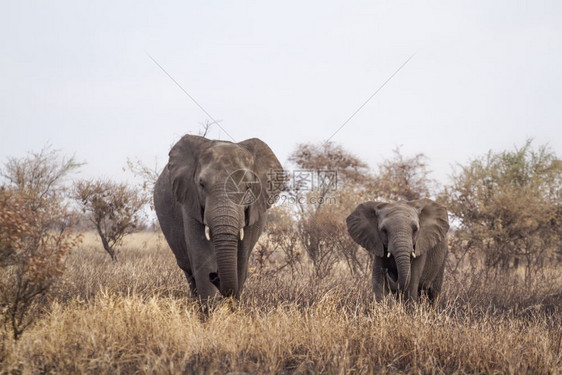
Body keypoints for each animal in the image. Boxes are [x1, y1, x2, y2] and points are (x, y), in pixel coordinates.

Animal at [153, 135, 282, 302]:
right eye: (201, 184)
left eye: (248, 187)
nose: (215, 276)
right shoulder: (190, 202)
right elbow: (203, 259)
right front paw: (211, 308)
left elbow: (241, 262)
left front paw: (233, 307)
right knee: (188, 270)